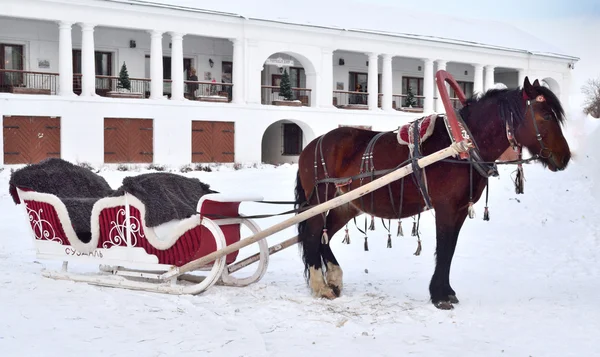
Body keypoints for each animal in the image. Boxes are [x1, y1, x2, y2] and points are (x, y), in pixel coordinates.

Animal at [292, 76, 568, 308]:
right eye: (545, 115)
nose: (565, 157)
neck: (461, 146)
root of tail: (310, 145)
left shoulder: (459, 210)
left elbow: (450, 249)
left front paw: (446, 291)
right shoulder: (446, 208)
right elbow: (444, 249)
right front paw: (439, 295)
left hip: (346, 203)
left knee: (324, 236)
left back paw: (334, 279)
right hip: (321, 200)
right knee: (313, 233)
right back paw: (321, 287)